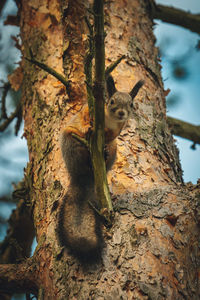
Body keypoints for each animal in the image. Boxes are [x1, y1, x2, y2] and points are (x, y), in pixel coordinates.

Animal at [57, 75, 144, 260]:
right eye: (111, 101)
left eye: (131, 104)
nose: (121, 113)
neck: (110, 120)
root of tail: (82, 177)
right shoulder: (89, 112)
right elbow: (84, 117)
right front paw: (88, 127)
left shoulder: (116, 131)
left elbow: (111, 135)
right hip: (70, 140)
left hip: (114, 147)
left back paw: (103, 153)